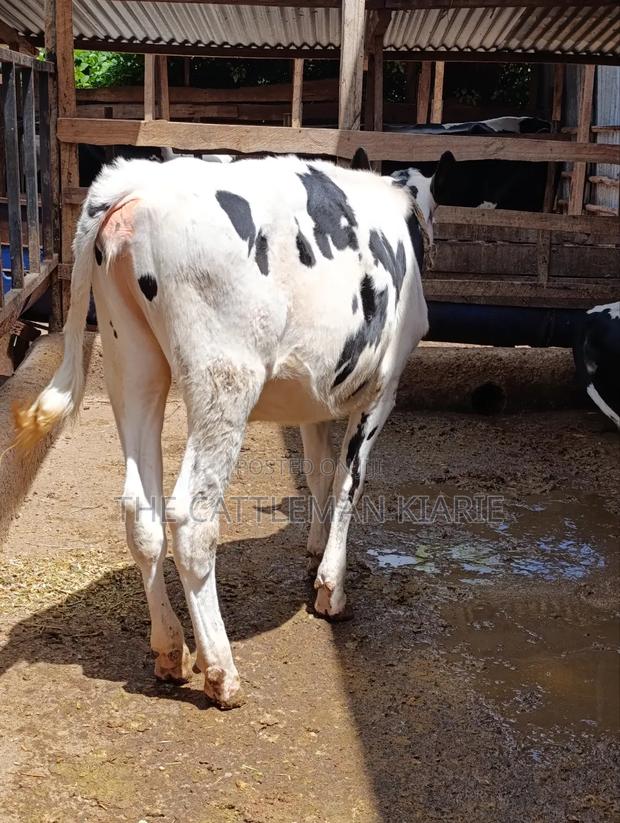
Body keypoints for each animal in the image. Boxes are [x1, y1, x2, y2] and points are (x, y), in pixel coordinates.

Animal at [14, 151, 456, 708]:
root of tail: (137, 180)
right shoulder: (384, 388)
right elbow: (349, 483)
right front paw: (331, 590)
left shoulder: (314, 399)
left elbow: (318, 473)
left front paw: (314, 554)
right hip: (224, 377)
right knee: (190, 517)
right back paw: (221, 671)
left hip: (129, 360)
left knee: (140, 511)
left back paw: (170, 651)